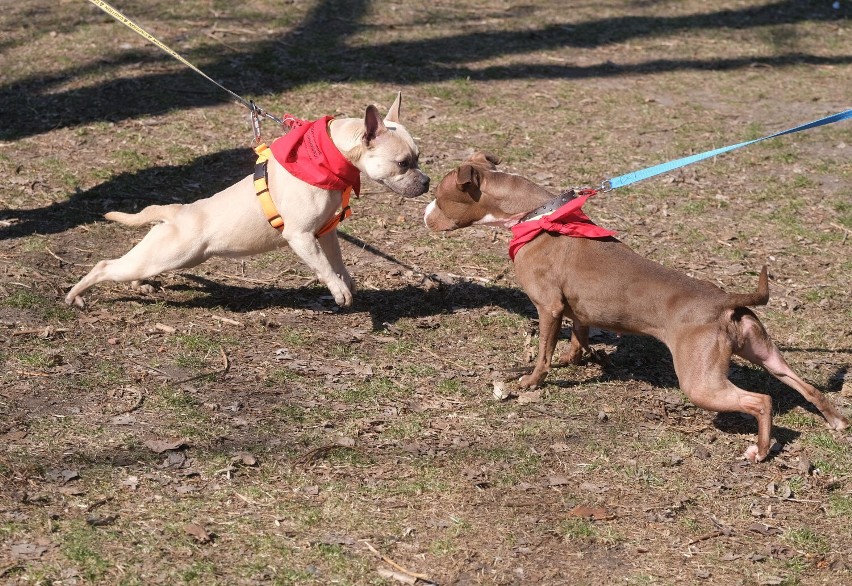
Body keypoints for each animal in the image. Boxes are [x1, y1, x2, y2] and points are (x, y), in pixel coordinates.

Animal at [424, 153, 844, 464]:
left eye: (442, 198)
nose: (423, 213)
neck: (538, 215)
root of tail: (726, 302)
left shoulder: (548, 307)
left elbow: (543, 352)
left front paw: (531, 382)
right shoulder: (576, 311)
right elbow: (578, 338)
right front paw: (576, 360)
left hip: (700, 383)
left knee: (762, 400)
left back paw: (760, 450)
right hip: (766, 354)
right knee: (806, 387)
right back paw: (836, 421)